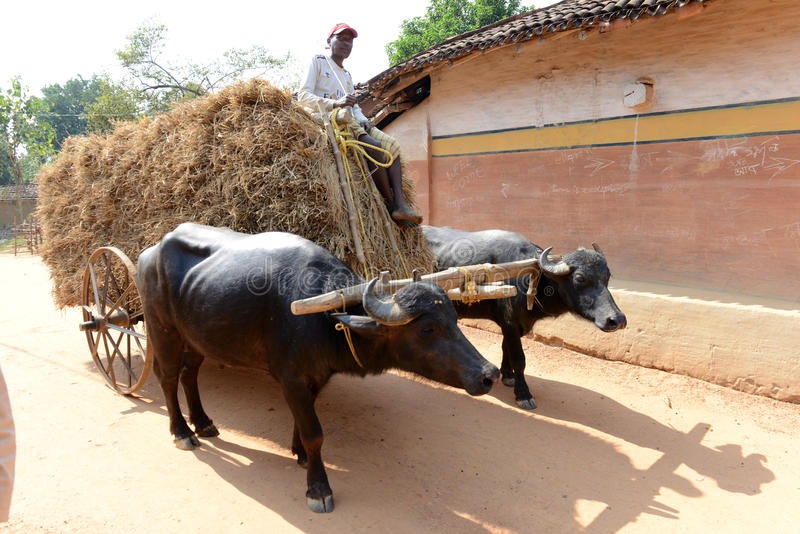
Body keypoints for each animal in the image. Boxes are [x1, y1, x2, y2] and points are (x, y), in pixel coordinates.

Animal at [138, 223, 500, 516]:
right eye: (427, 329)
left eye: (454, 320)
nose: (489, 374)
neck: (324, 317)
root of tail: (150, 252)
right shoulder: (292, 379)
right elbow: (315, 433)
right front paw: (318, 488)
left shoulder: (315, 378)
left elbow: (303, 422)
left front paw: (298, 452)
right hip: (163, 330)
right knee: (167, 377)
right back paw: (182, 432)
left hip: (198, 339)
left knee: (190, 374)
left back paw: (203, 423)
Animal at [422, 226, 628, 410]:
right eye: (579, 278)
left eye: (607, 276)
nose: (616, 320)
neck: (532, 278)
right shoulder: (511, 322)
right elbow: (519, 359)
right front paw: (523, 395)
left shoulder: (514, 325)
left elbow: (506, 348)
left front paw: (508, 376)